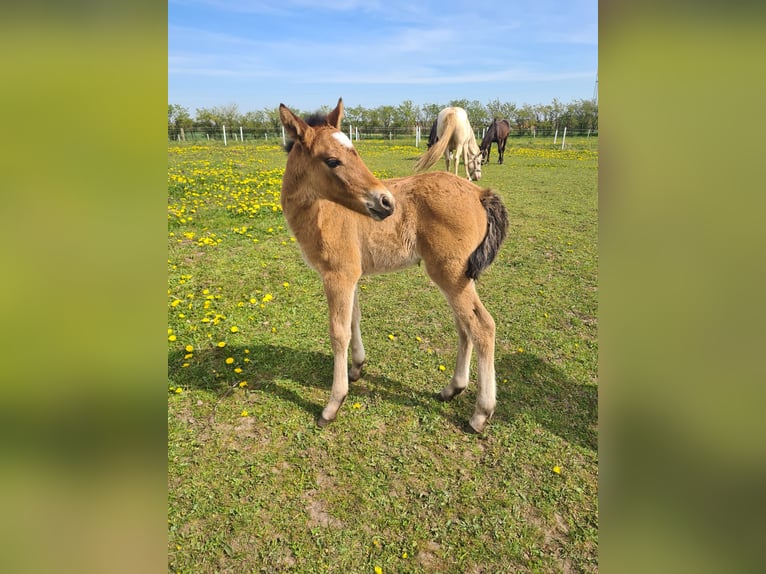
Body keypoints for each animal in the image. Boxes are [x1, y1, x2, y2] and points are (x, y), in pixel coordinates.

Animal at [279, 98, 509, 433]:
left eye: (355, 152)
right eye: (332, 161)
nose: (386, 202)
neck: (323, 211)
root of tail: (479, 193)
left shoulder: (337, 275)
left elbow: (338, 332)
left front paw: (333, 404)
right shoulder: (352, 275)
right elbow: (354, 320)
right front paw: (357, 367)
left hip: (450, 274)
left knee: (482, 326)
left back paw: (481, 412)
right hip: (461, 277)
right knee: (464, 325)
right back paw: (452, 389)